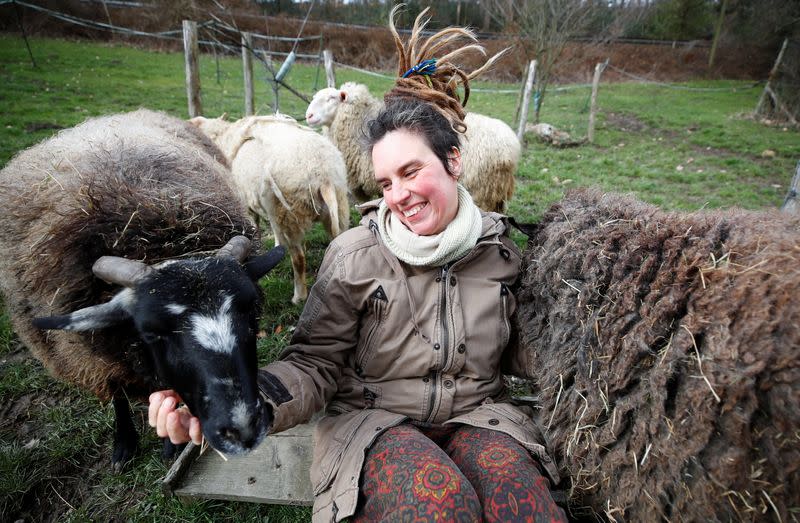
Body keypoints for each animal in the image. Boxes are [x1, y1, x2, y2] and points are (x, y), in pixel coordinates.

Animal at [0, 110, 286, 470]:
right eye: (151, 332)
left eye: (252, 314)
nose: (243, 429)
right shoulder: (98, 361)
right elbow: (118, 395)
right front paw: (124, 444)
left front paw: (170, 445)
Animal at [191, 112, 350, 304]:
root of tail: (323, 176)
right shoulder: (271, 209)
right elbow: (274, 231)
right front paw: (277, 247)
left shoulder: (251, 205)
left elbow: (256, 227)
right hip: (335, 209)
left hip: (287, 213)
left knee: (298, 259)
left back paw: (298, 297)